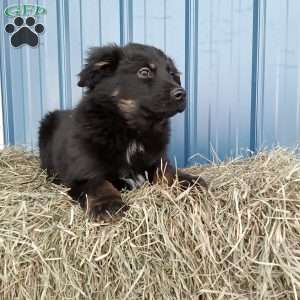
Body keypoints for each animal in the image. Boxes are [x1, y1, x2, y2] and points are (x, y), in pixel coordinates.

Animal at [38, 42, 206, 218]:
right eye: (144, 72)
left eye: (172, 74)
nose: (182, 94)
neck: (132, 130)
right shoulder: (80, 172)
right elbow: (96, 182)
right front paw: (108, 203)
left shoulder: (156, 159)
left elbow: (167, 170)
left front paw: (188, 181)